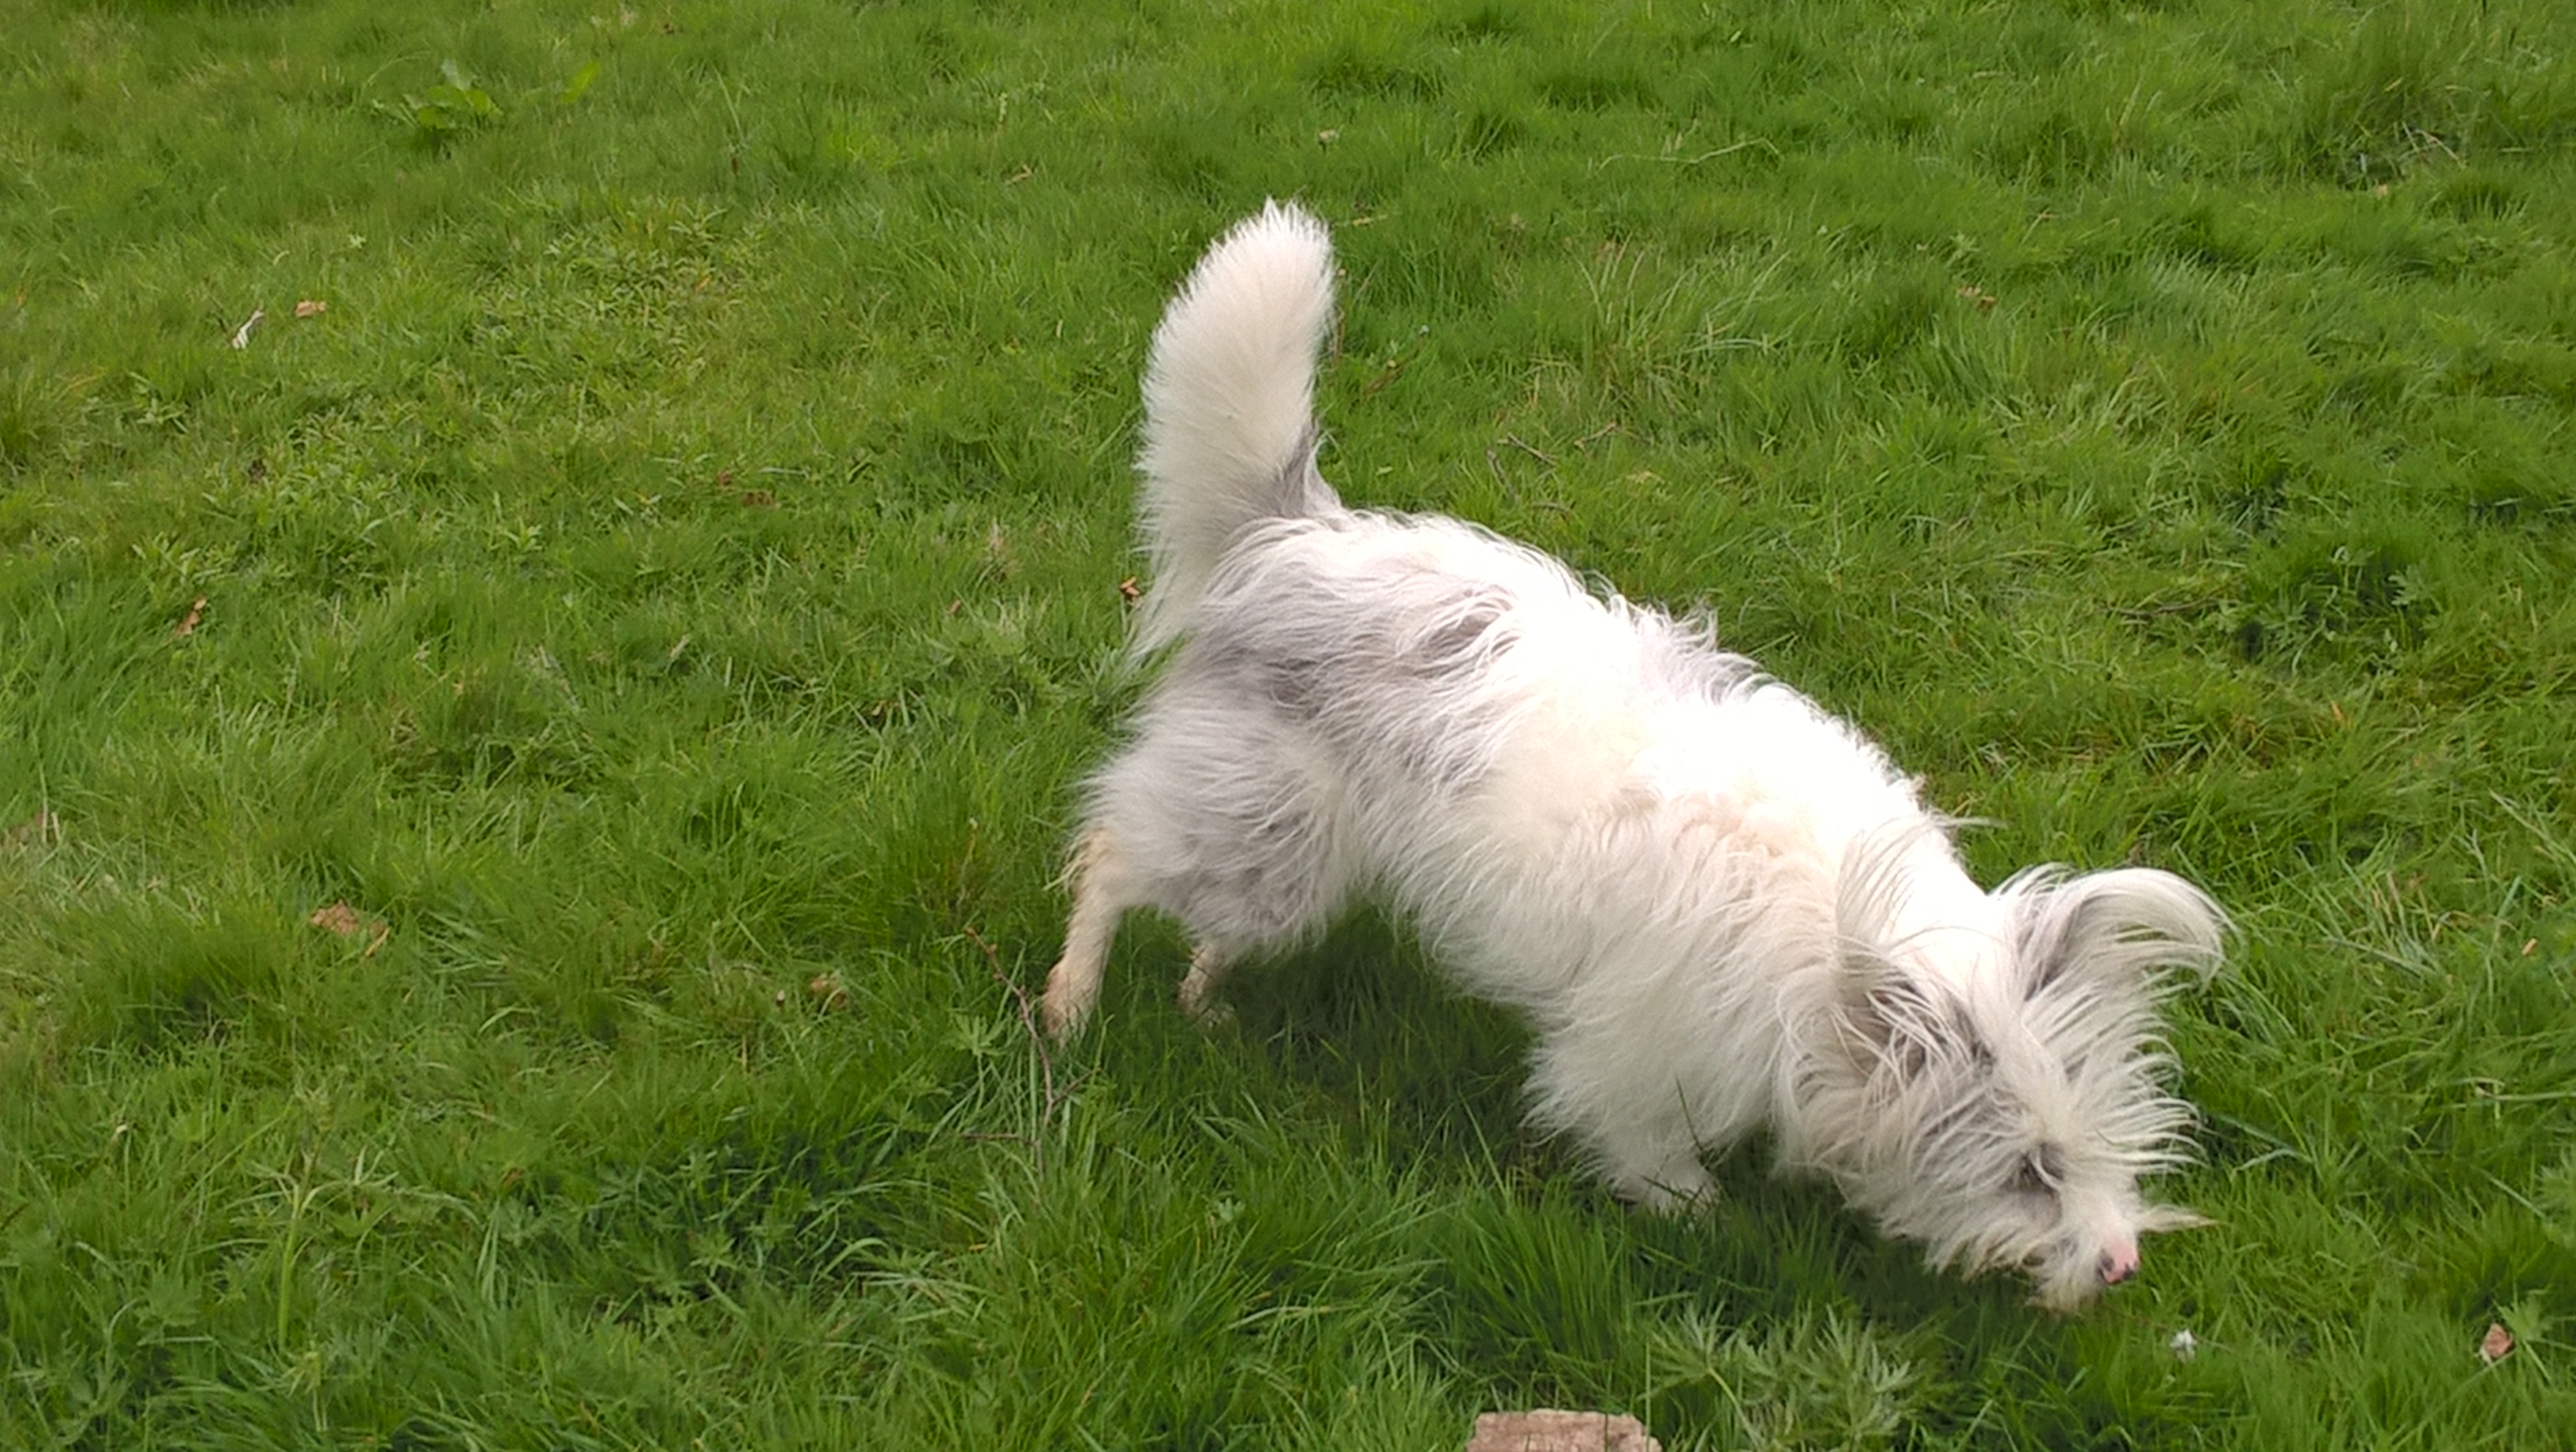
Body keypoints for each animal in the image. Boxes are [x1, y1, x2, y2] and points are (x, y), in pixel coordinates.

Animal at [1042, 202, 2227, 1311]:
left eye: (2092, 1153)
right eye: (2031, 1170)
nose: (2119, 1264)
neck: (1834, 946)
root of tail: (1293, 537)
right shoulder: (1636, 1049)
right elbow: (1642, 1144)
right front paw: (1700, 1216)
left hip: (1274, 855)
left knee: (1195, 910)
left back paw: (1203, 999)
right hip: (1270, 839)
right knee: (1111, 856)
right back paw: (1067, 1004)